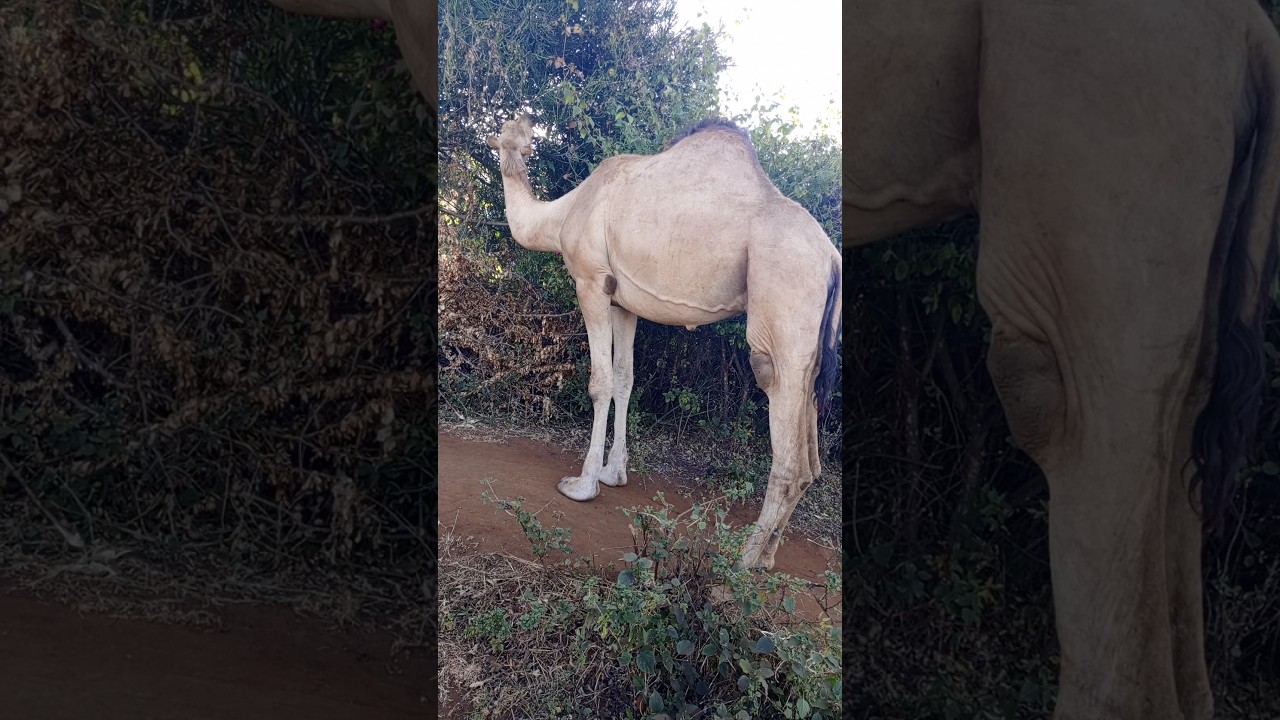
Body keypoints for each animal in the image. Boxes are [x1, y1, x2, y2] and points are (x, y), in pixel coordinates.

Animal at [485, 115, 841, 571]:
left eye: (513, 137)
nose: (514, 148)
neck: (563, 212)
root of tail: (831, 259)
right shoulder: (622, 302)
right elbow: (624, 379)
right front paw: (613, 473)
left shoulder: (590, 282)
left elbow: (600, 382)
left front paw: (582, 484)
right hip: (816, 343)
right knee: (812, 456)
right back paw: (766, 558)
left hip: (784, 304)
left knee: (784, 427)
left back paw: (741, 561)